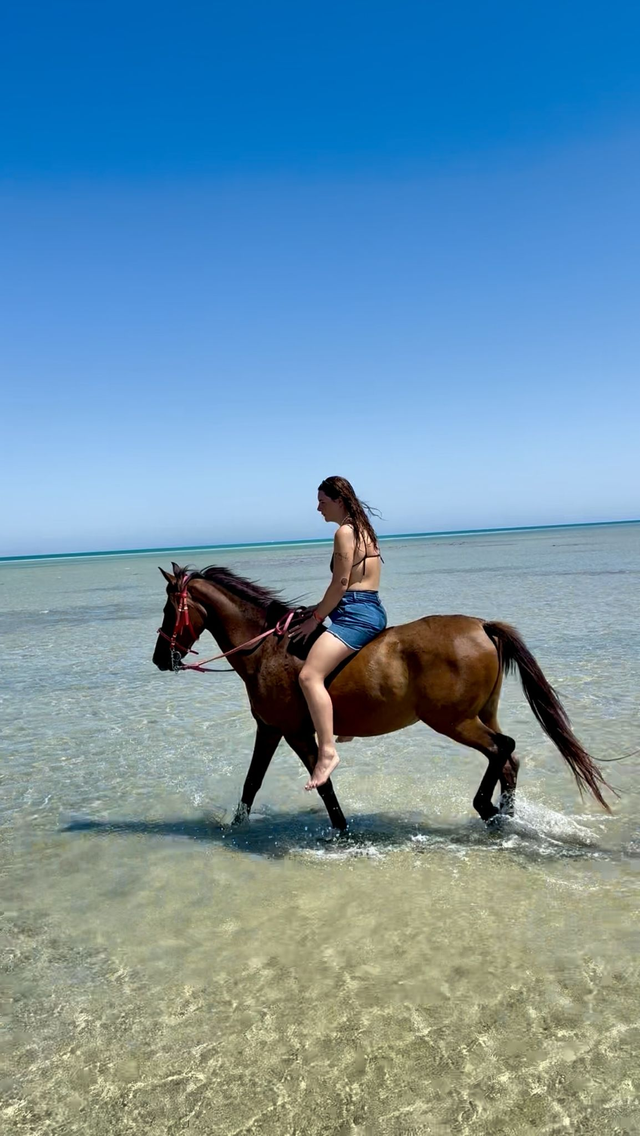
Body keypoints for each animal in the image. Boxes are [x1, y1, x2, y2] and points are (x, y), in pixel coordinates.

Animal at [152, 562, 612, 831]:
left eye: (168, 609)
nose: (160, 658)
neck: (266, 649)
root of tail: (481, 625)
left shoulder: (296, 733)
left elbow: (323, 784)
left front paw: (342, 831)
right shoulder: (270, 729)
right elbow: (252, 781)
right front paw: (235, 826)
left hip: (454, 721)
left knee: (503, 749)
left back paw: (487, 809)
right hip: (483, 713)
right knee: (509, 761)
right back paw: (506, 819)